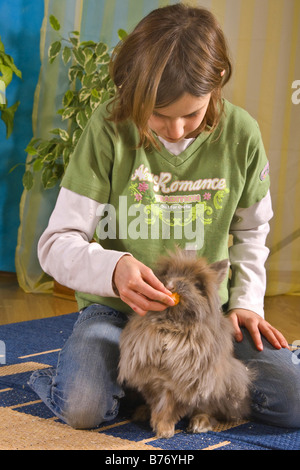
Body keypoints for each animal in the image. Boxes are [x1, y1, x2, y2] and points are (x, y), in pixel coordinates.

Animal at [117, 252, 253, 438]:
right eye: (167, 274)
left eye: (196, 284)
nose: (170, 285)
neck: (171, 326)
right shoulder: (150, 379)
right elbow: (156, 402)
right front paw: (159, 425)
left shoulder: (183, 383)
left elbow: (170, 406)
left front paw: (164, 431)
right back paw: (141, 413)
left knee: (207, 410)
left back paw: (199, 424)